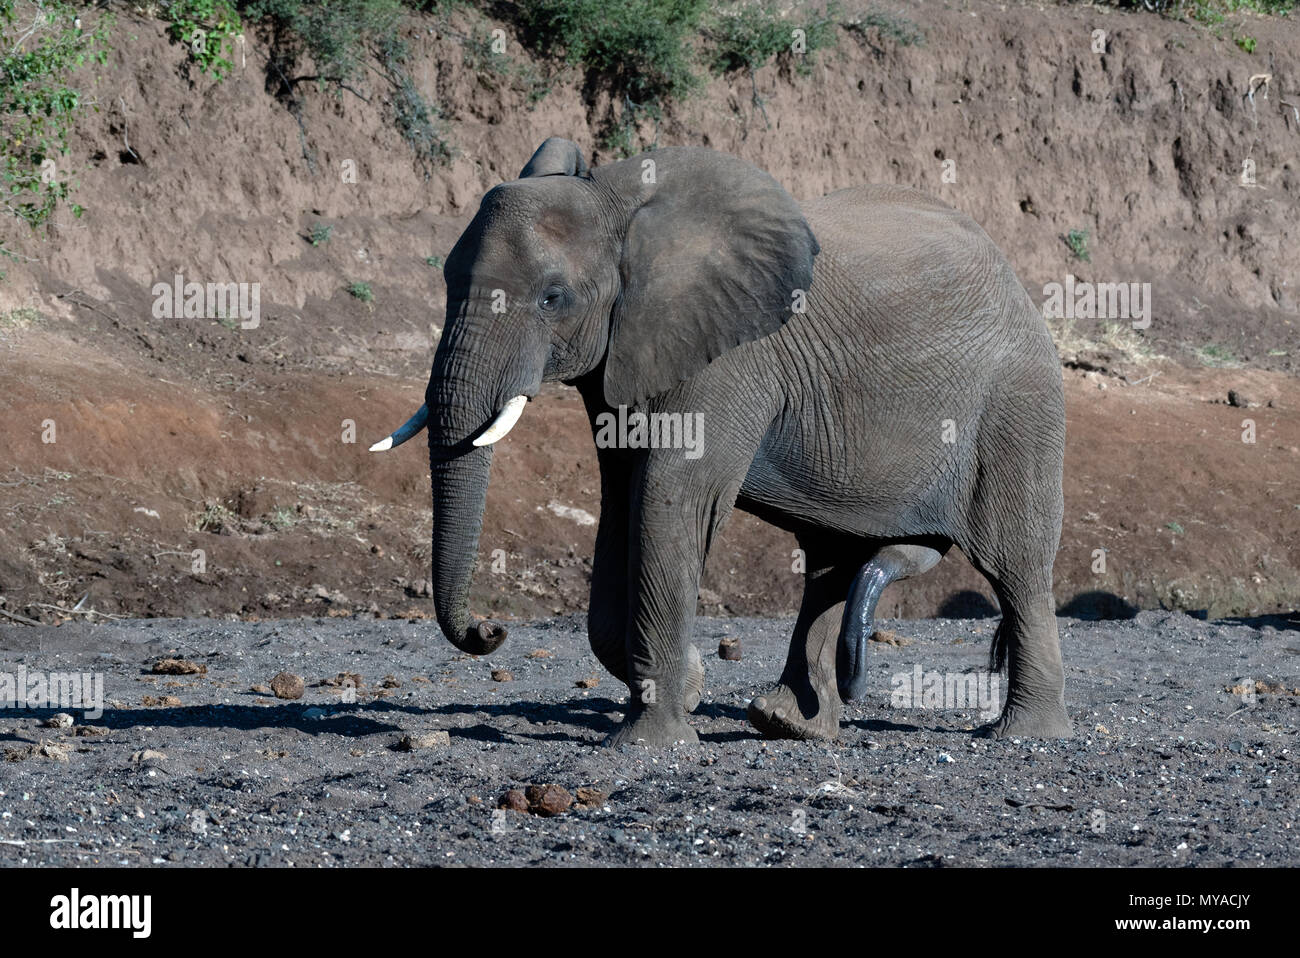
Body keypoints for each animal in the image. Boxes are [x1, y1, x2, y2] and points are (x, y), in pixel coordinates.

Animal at [374, 136, 1066, 748]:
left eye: (552, 297)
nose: (489, 630)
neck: (618, 202)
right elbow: (621, 501)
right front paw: (692, 684)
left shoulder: (729, 355)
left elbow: (669, 497)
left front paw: (652, 742)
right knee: (833, 563)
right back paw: (790, 725)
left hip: (1017, 406)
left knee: (1017, 566)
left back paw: (1022, 734)